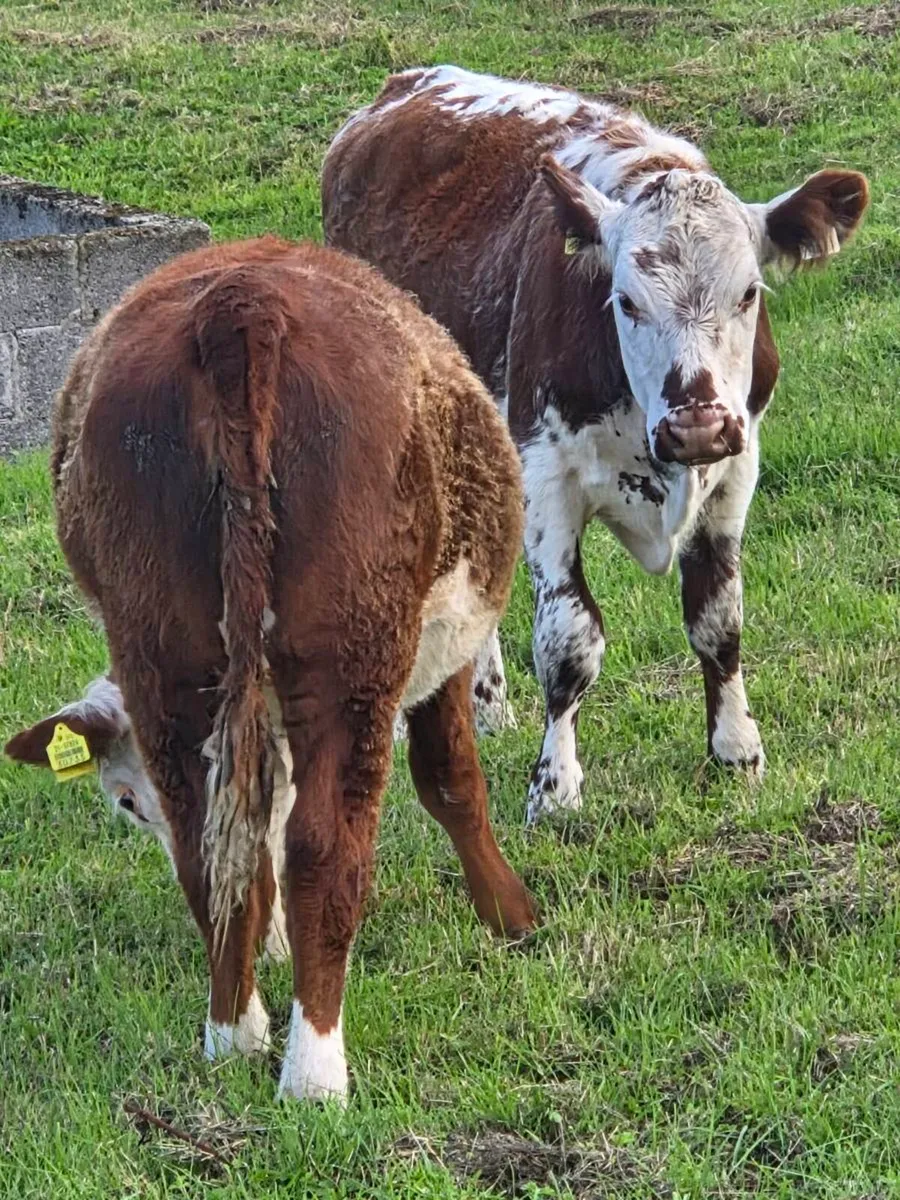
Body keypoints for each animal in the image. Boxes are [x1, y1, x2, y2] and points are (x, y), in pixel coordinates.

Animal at [4, 236, 536, 1103]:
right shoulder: (445, 648)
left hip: (167, 655)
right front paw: (509, 915)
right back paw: (314, 1072)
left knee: (212, 846)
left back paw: (232, 1033)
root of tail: (239, 307)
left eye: (127, 804)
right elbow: (452, 777)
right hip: (355, 656)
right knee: (327, 848)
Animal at [321, 65, 870, 823]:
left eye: (749, 292)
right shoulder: (545, 477)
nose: (696, 423)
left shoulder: (736, 470)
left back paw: (487, 708)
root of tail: (405, 85)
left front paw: (736, 753)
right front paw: (554, 790)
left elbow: (718, 620)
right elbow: (569, 641)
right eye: (626, 300)